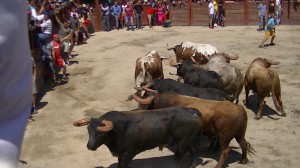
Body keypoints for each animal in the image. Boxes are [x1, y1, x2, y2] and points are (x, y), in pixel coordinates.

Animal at [73, 107, 203, 168]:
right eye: (88, 131)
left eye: (100, 133)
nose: (89, 146)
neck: (117, 130)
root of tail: (191, 111)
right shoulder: (121, 154)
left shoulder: (128, 154)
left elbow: (122, 165)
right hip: (188, 141)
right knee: (192, 150)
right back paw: (191, 164)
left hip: (181, 143)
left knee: (180, 156)